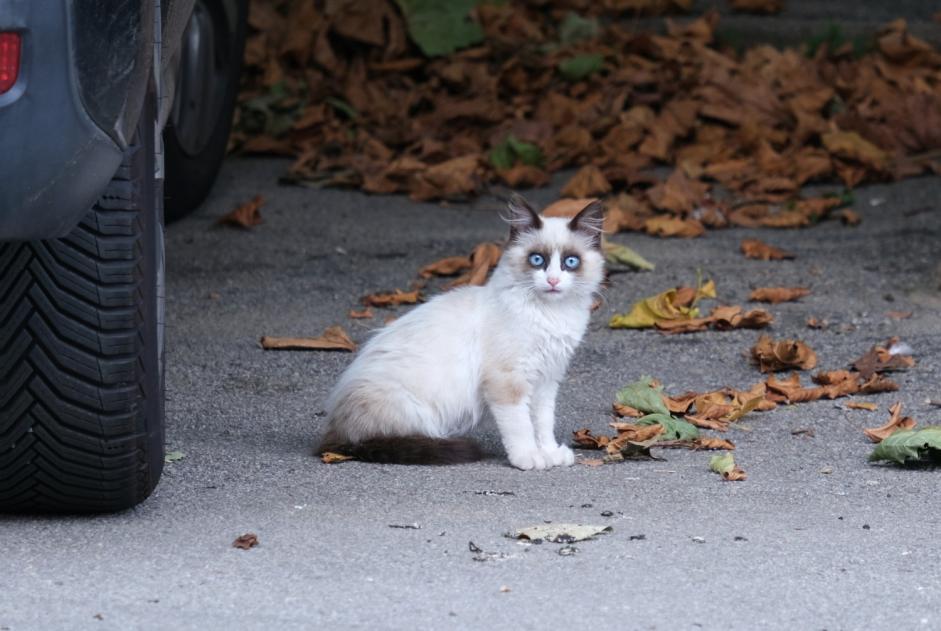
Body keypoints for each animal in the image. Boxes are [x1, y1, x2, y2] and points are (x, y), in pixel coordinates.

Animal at [320, 195, 604, 472]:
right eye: (537, 260)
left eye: (570, 262)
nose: (553, 281)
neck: (551, 315)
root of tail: (335, 435)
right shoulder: (508, 380)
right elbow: (521, 427)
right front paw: (529, 458)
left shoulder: (547, 380)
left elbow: (543, 423)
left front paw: (550, 453)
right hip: (414, 411)